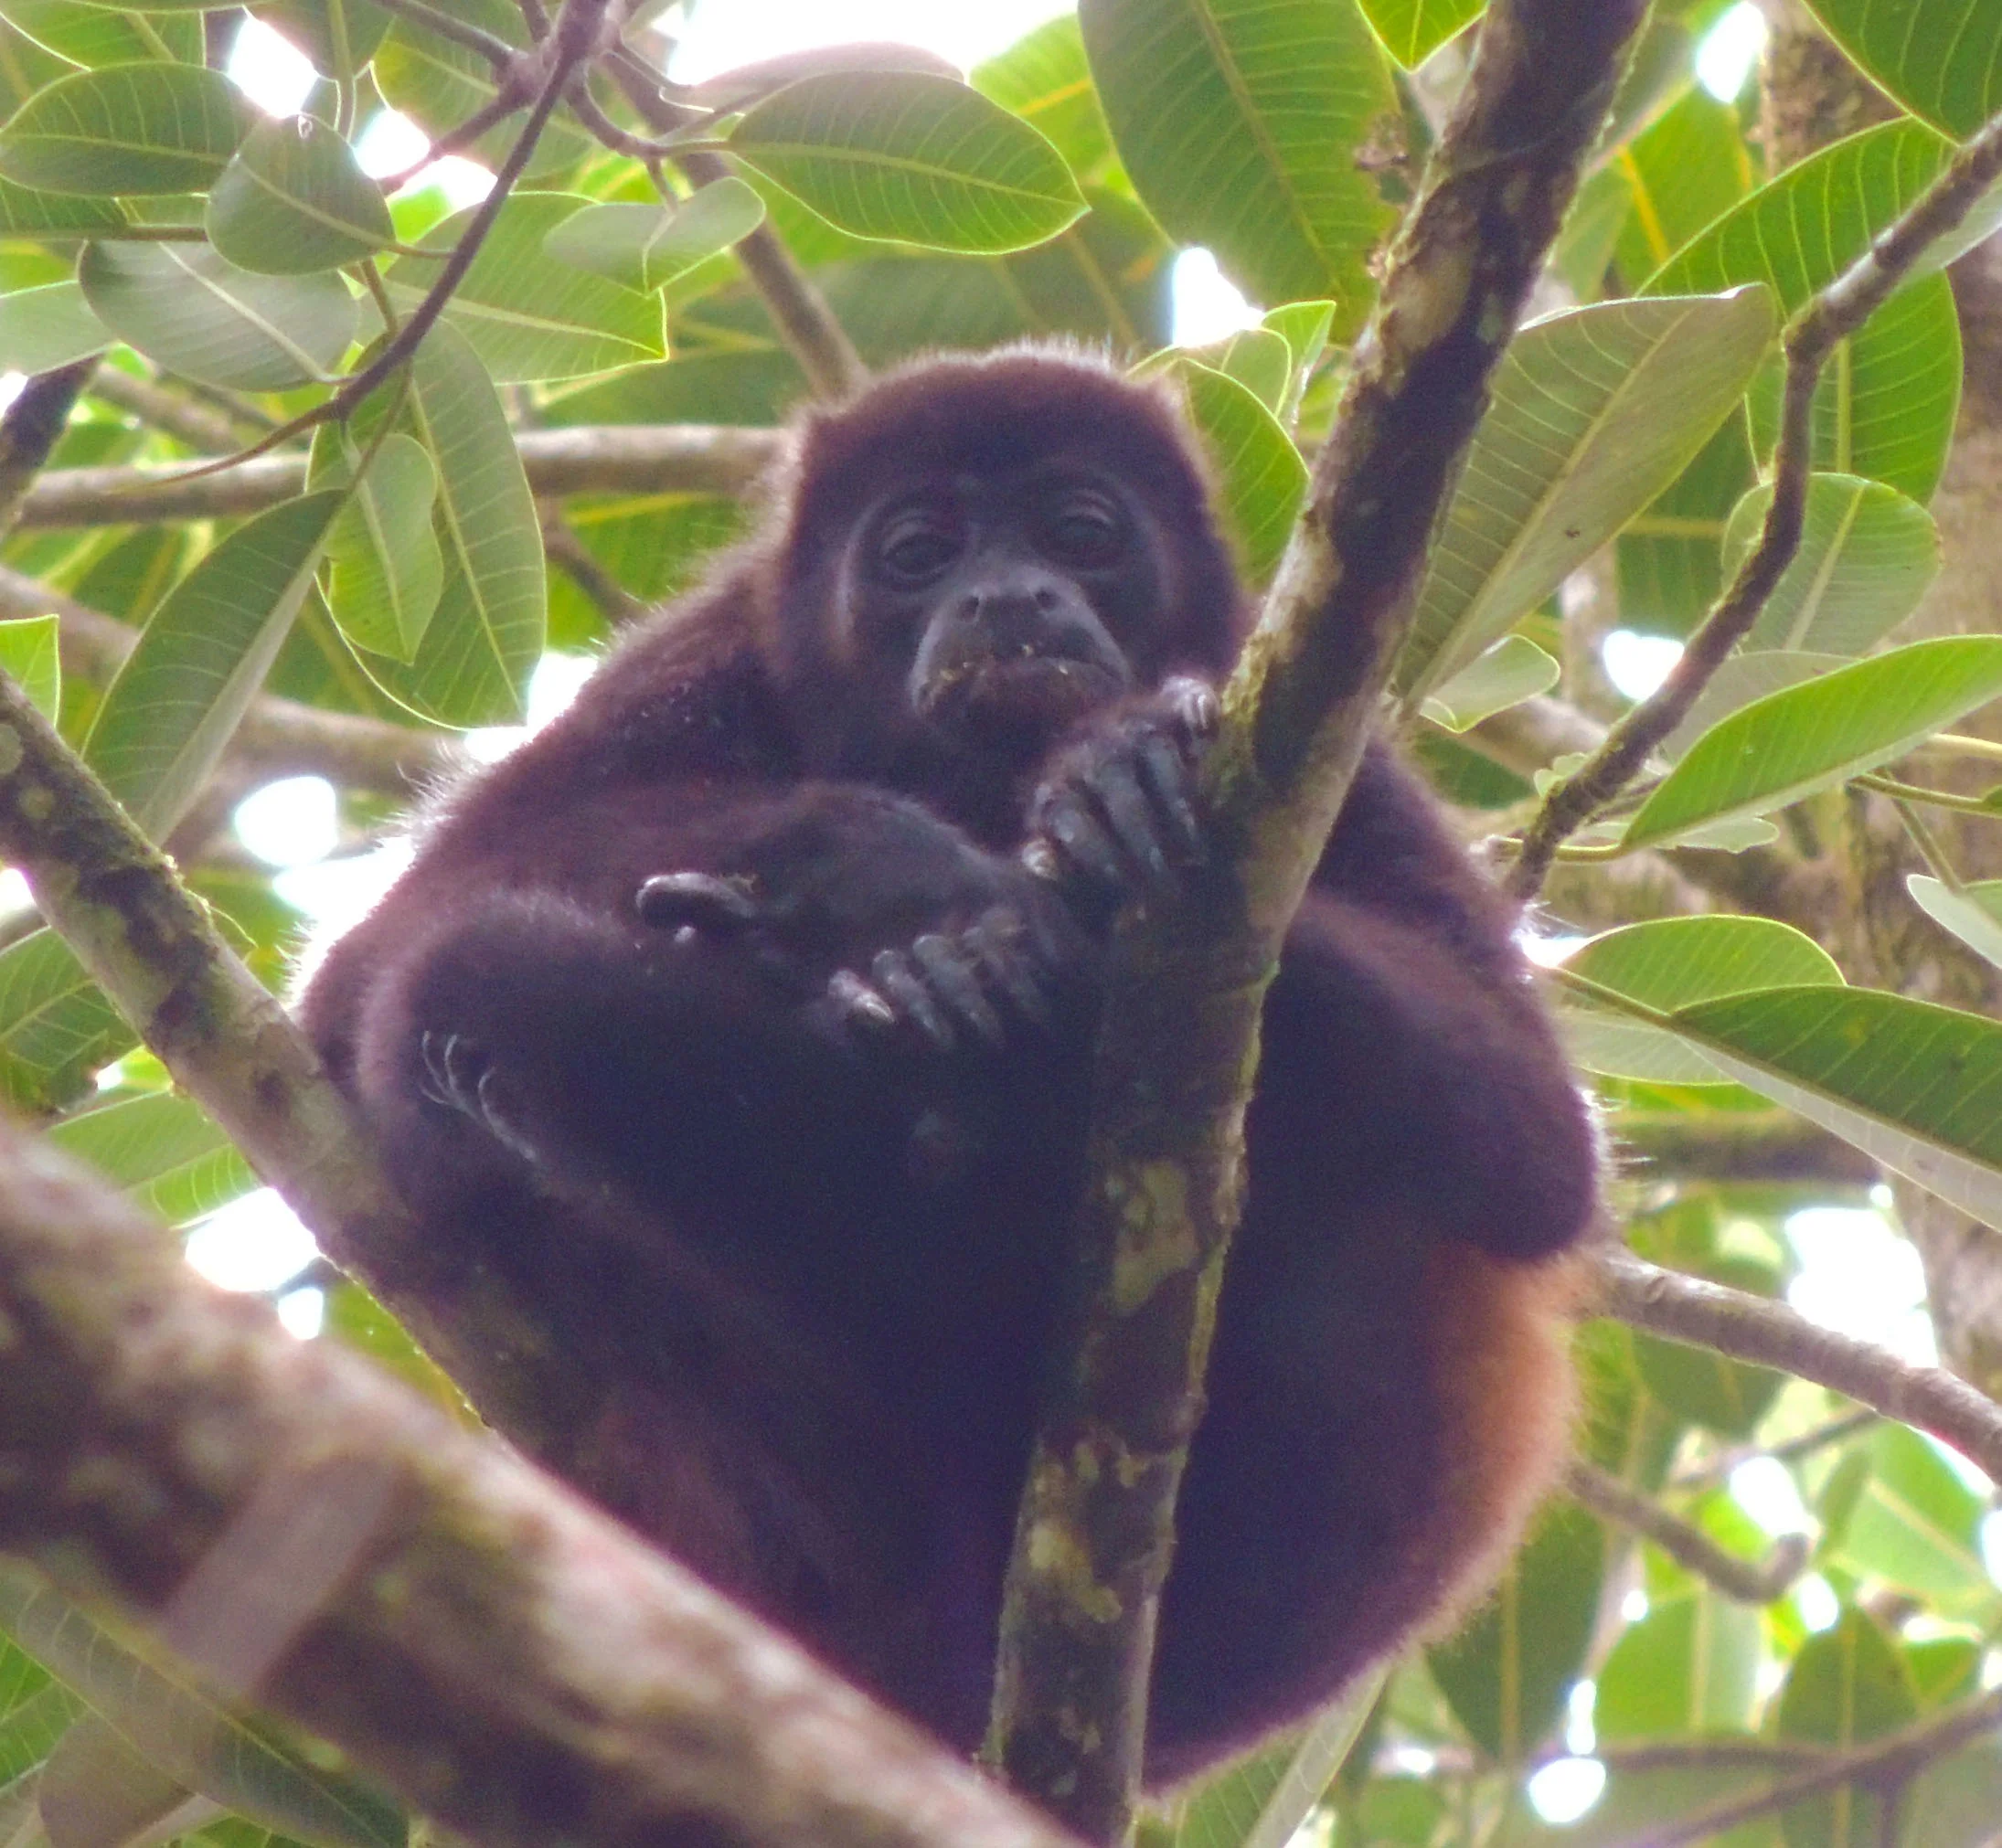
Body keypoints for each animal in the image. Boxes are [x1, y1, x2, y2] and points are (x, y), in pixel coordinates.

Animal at [299, 347, 1597, 1785]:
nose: (1006, 594)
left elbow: (1534, 1148)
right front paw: (890, 872)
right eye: (919, 551)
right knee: (457, 992)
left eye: (1079, 530)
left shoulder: (1316, 733)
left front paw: (1098, 789)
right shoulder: (702, 657)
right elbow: (373, 964)